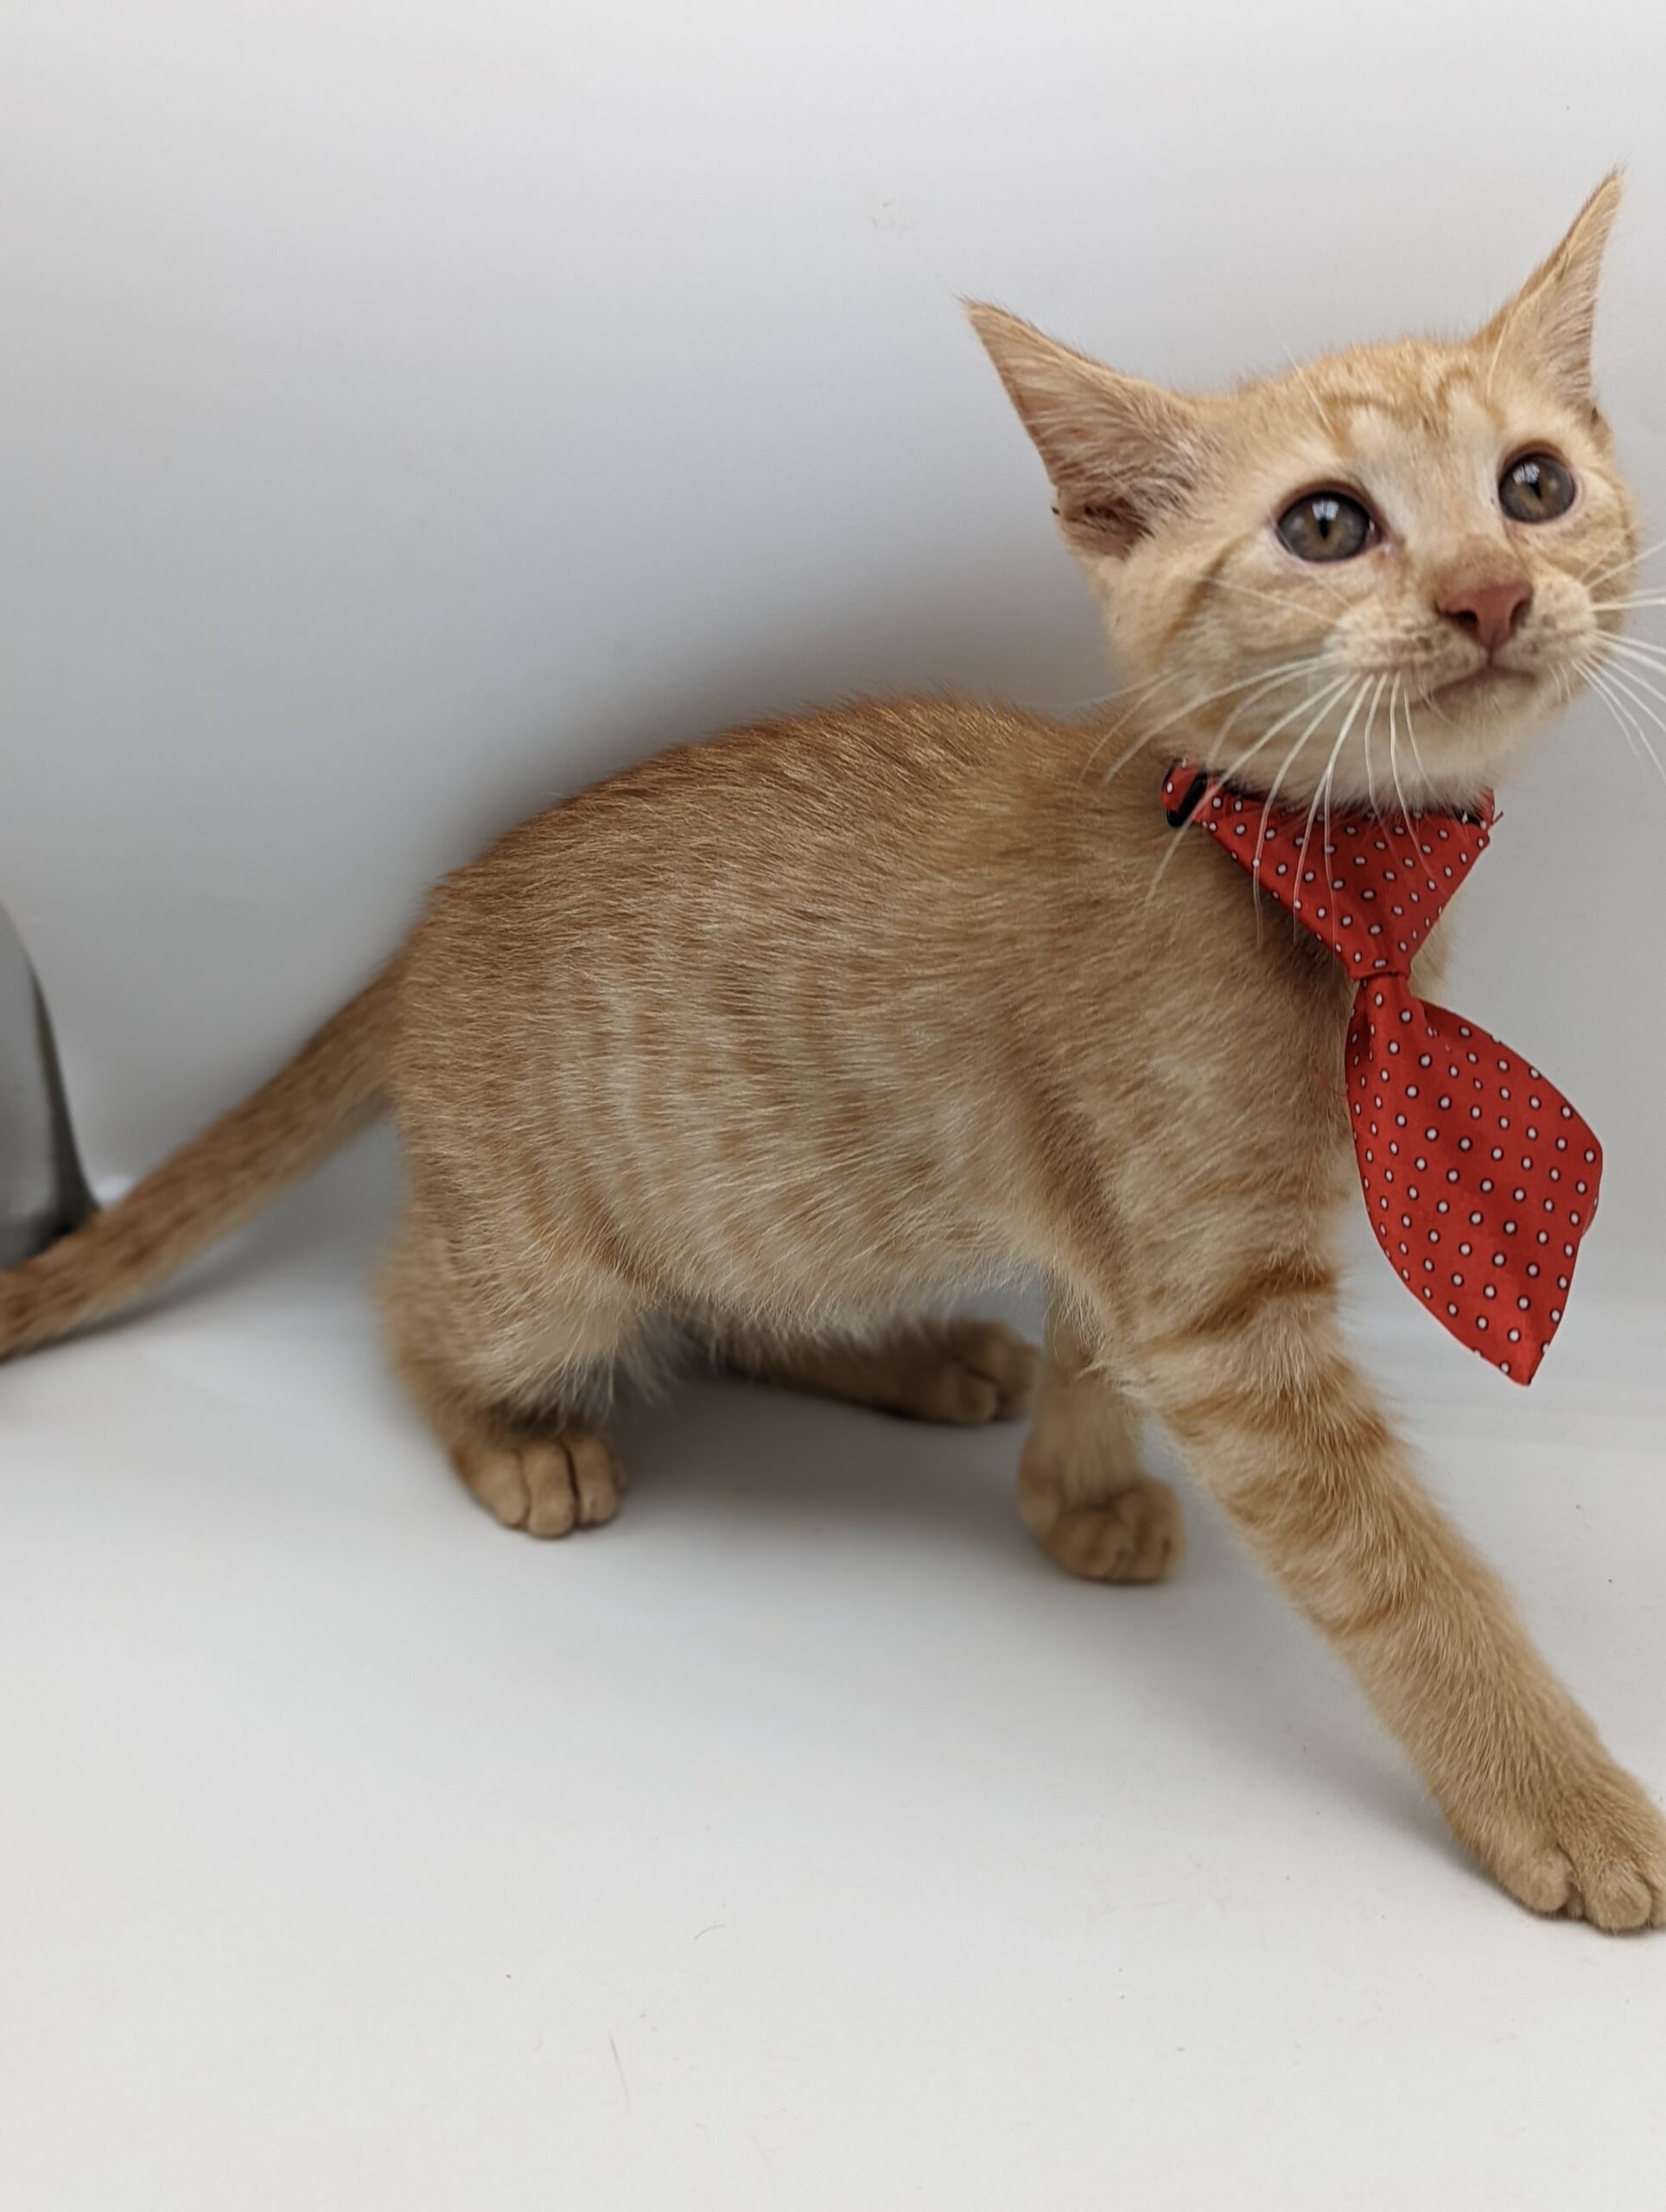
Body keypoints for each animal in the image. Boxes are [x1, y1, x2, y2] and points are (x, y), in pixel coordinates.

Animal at [3, 181, 1663, 1929]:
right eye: (1327, 525)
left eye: (1533, 485)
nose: (1489, 594)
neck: (1308, 881)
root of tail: (426, 924)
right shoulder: (1220, 1310)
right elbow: (1401, 1573)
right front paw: (1555, 1795)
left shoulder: (1127, 1235)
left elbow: (1093, 1334)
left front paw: (1072, 1492)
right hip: (549, 1271)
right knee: (408, 1310)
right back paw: (514, 1438)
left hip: (784, 1209)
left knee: (732, 1312)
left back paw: (924, 1359)